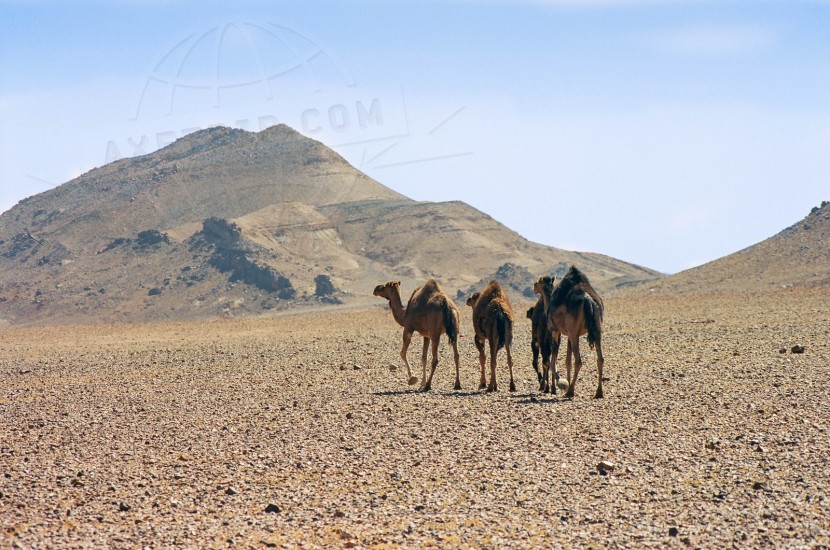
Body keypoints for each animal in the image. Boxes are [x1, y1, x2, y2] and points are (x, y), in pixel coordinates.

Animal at [536, 266, 608, 398]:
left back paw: (570, 391)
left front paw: (560, 385)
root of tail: (588, 299)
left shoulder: (555, 331)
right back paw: (599, 392)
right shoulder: (570, 333)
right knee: (600, 359)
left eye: (538, 282)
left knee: (578, 361)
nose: (534, 286)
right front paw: (566, 383)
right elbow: (567, 361)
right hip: (596, 329)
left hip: (574, 333)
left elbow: (553, 360)